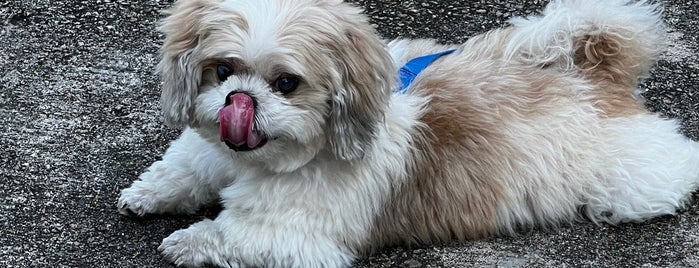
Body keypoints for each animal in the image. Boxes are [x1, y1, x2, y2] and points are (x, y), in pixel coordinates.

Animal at [116, 0, 699, 266]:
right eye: (222, 70)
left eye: (286, 83)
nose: (241, 99)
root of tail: (594, 74)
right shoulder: (210, 154)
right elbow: (185, 167)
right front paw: (151, 194)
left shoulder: (290, 234)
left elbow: (229, 235)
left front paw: (188, 241)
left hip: (629, 179)